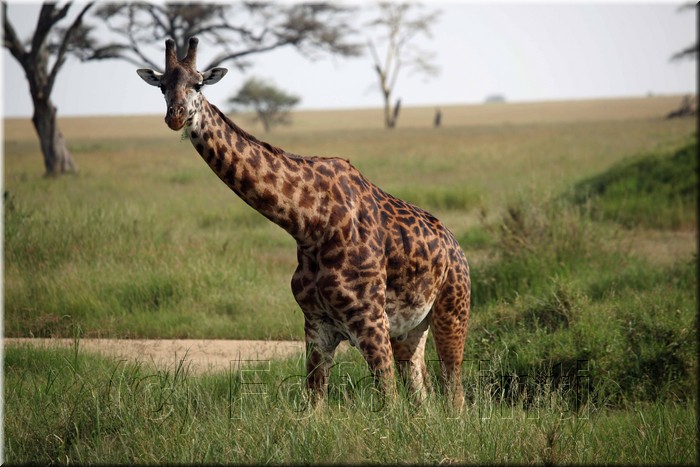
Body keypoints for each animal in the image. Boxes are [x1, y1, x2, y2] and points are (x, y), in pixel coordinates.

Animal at [137, 37, 470, 410]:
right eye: (162, 86)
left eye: (198, 83)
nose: (176, 116)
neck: (309, 224)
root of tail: (455, 246)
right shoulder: (316, 324)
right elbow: (314, 404)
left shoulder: (370, 320)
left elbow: (389, 403)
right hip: (410, 330)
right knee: (422, 394)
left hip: (452, 311)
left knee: (455, 395)